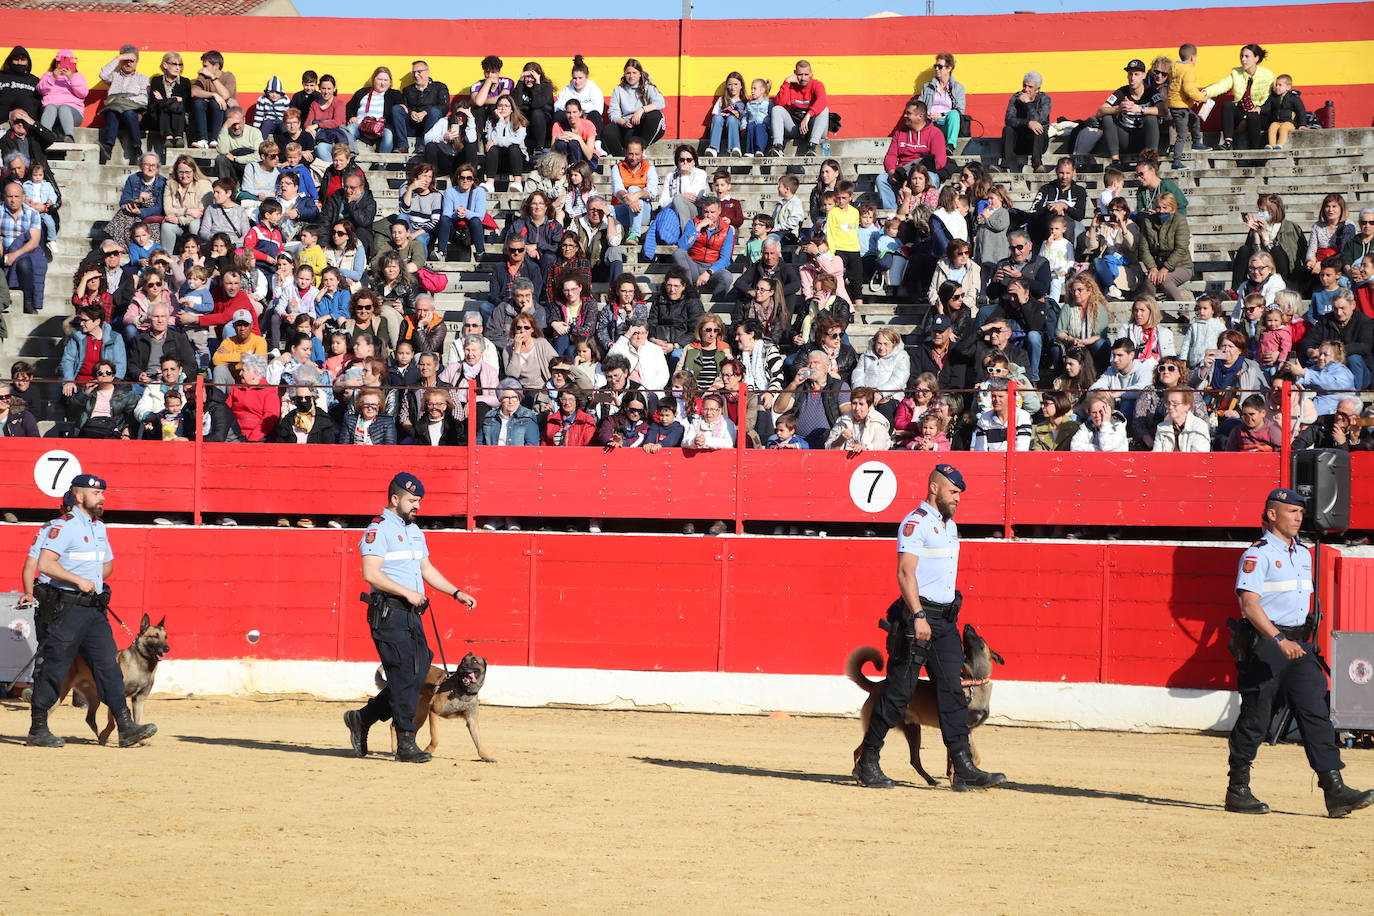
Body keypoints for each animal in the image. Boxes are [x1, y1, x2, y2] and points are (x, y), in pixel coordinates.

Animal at [58, 615, 169, 747]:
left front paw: (140, 740)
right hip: (63, 693)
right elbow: (113, 723)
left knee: (90, 719)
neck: (142, 664)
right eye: (154, 636)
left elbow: (137, 720)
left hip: (95, 699)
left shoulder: (139, 700)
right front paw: (107, 736)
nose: (167, 648)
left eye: (165, 637)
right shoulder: (117, 696)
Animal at [840, 623, 1005, 791]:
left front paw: (960, 778)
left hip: (914, 731)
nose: (967, 625)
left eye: (980, 638)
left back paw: (930, 780)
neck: (973, 682)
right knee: (858, 751)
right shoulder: (961, 727)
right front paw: (958, 782)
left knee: (914, 760)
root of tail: (876, 686)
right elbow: (964, 758)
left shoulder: (964, 731)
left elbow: (963, 757)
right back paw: (862, 778)